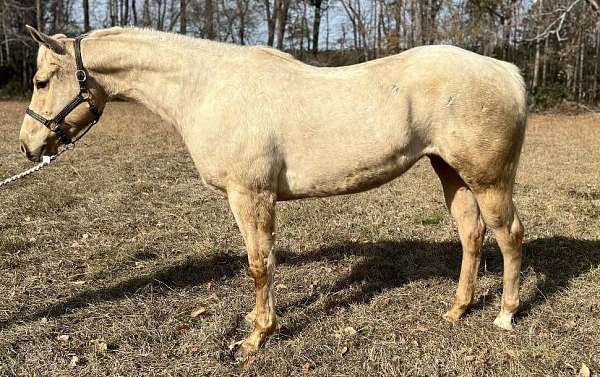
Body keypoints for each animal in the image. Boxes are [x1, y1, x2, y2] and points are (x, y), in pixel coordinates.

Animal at [19, 25, 524, 356]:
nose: (28, 146)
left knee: (509, 236)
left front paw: (257, 335)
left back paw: (505, 314)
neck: (205, 87)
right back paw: (457, 310)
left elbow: (259, 265)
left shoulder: (250, 196)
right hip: (450, 172)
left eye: (42, 81)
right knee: (471, 234)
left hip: (488, 180)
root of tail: (506, 72)